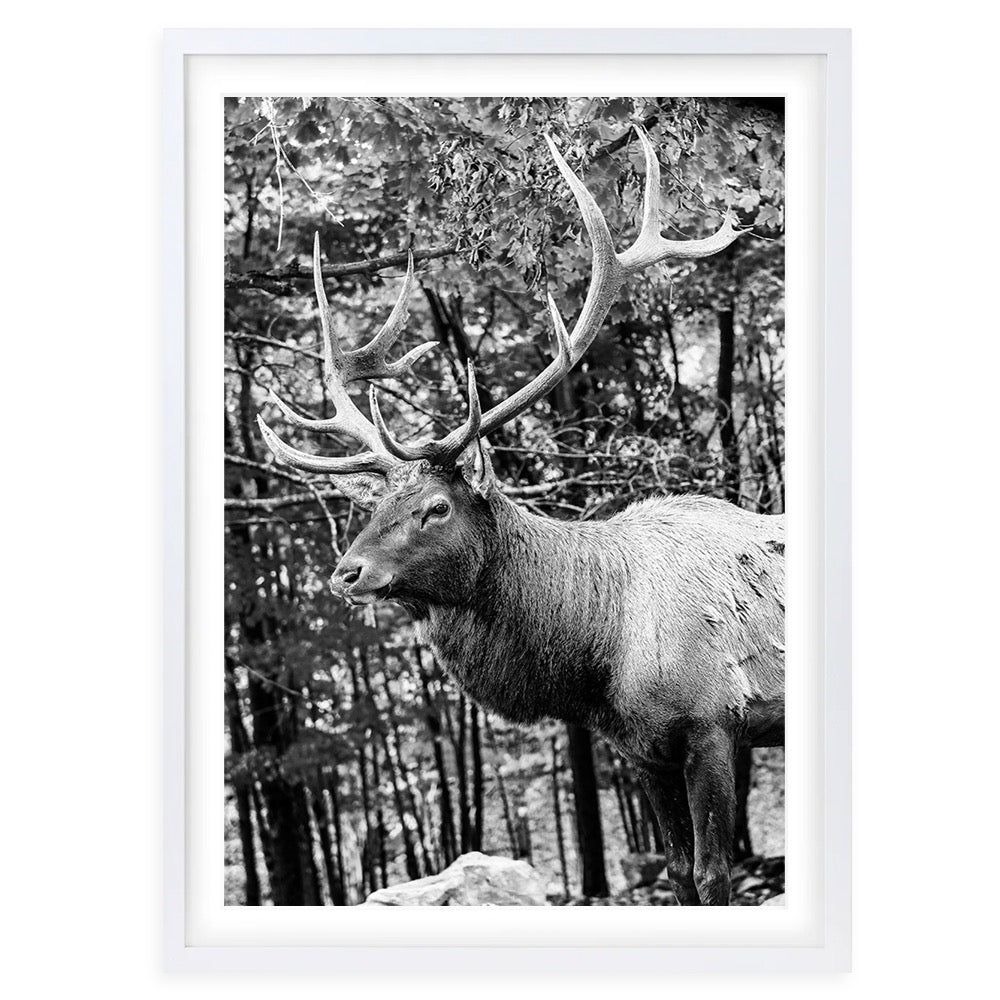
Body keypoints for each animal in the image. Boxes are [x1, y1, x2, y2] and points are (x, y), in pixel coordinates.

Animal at [257, 125, 784, 906]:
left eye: (436, 507)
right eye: (377, 504)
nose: (347, 572)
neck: (598, 656)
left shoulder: (715, 723)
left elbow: (714, 876)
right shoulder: (641, 749)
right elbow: (678, 875)